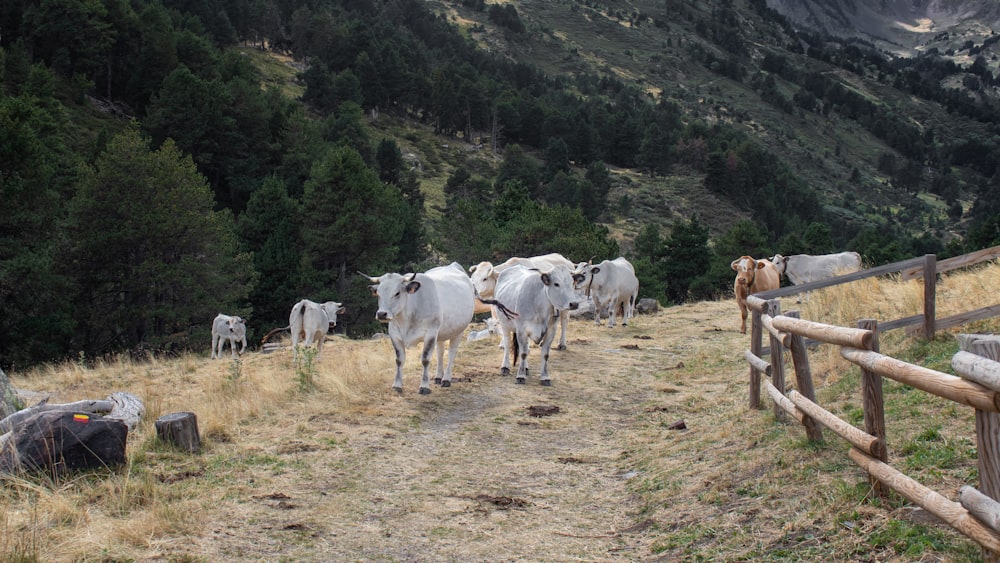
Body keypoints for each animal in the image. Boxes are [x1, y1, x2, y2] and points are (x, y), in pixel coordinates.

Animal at [366, 262, 478, 394]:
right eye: (378, 294)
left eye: (397, 293)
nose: (381, 314)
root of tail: (453, 265)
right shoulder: (394, 334)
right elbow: (399, 360)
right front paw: (397, 385)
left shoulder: (430, 333)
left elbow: (425, 359)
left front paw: (424, 386)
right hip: (441, 332)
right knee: (440, 352)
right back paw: (438, 376)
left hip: (458, 330)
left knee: (451, 352)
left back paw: (446, 379)